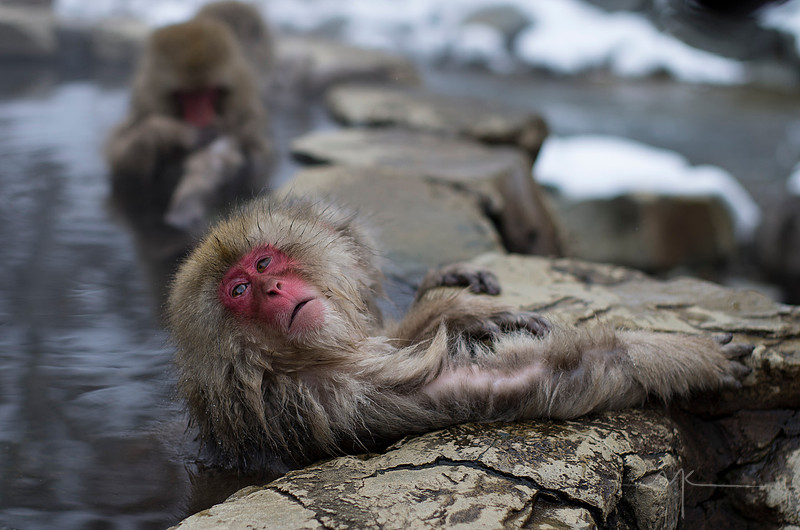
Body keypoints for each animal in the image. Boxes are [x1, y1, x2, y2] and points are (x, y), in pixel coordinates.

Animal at [106, 17, 272, 232]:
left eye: (208, 92)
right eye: (188, 95)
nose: (201, 117)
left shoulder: (246, 126)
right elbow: (123, 177)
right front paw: (171, 132)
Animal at [167, 197, 751, 472]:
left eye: (265, 262)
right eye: (239, 289)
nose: (272, 291)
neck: (276, 361)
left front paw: (460, 303)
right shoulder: (322, 394)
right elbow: (515, 383)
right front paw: (680, 355)